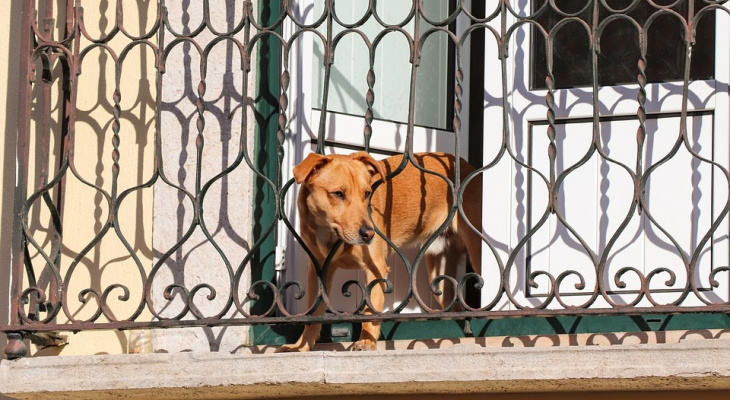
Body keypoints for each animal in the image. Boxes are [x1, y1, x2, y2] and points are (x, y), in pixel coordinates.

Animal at [276, 152, 480, 352]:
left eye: (367, 193)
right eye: (338, 194)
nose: (369, 233)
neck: (329, 234)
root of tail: (464, 163)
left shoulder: (376, 268)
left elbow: (370, 309)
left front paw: (367, 341)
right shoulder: (318, 270)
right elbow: (313, 313)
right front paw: (302, 346)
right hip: (439, 274)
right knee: (456, 307)